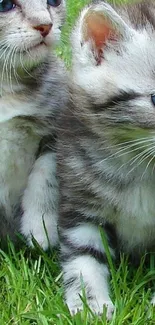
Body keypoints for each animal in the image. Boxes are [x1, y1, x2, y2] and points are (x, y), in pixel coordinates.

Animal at [0, 0, 67, 248]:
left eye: (53, 2)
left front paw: (41, 227)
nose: (45, 25)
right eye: (4, 5)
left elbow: (45, 176)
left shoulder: (58, 129)